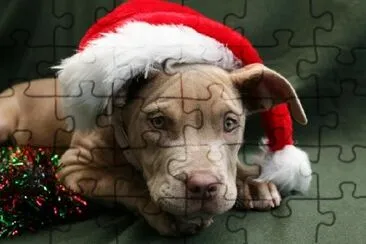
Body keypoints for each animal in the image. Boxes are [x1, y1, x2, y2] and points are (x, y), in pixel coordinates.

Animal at [0, 63, 304, 236]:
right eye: (157, 122)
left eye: (230, 123)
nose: (203, 187)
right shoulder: (76, 167)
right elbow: (126, 181)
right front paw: (170, 214)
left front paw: (252, 183)